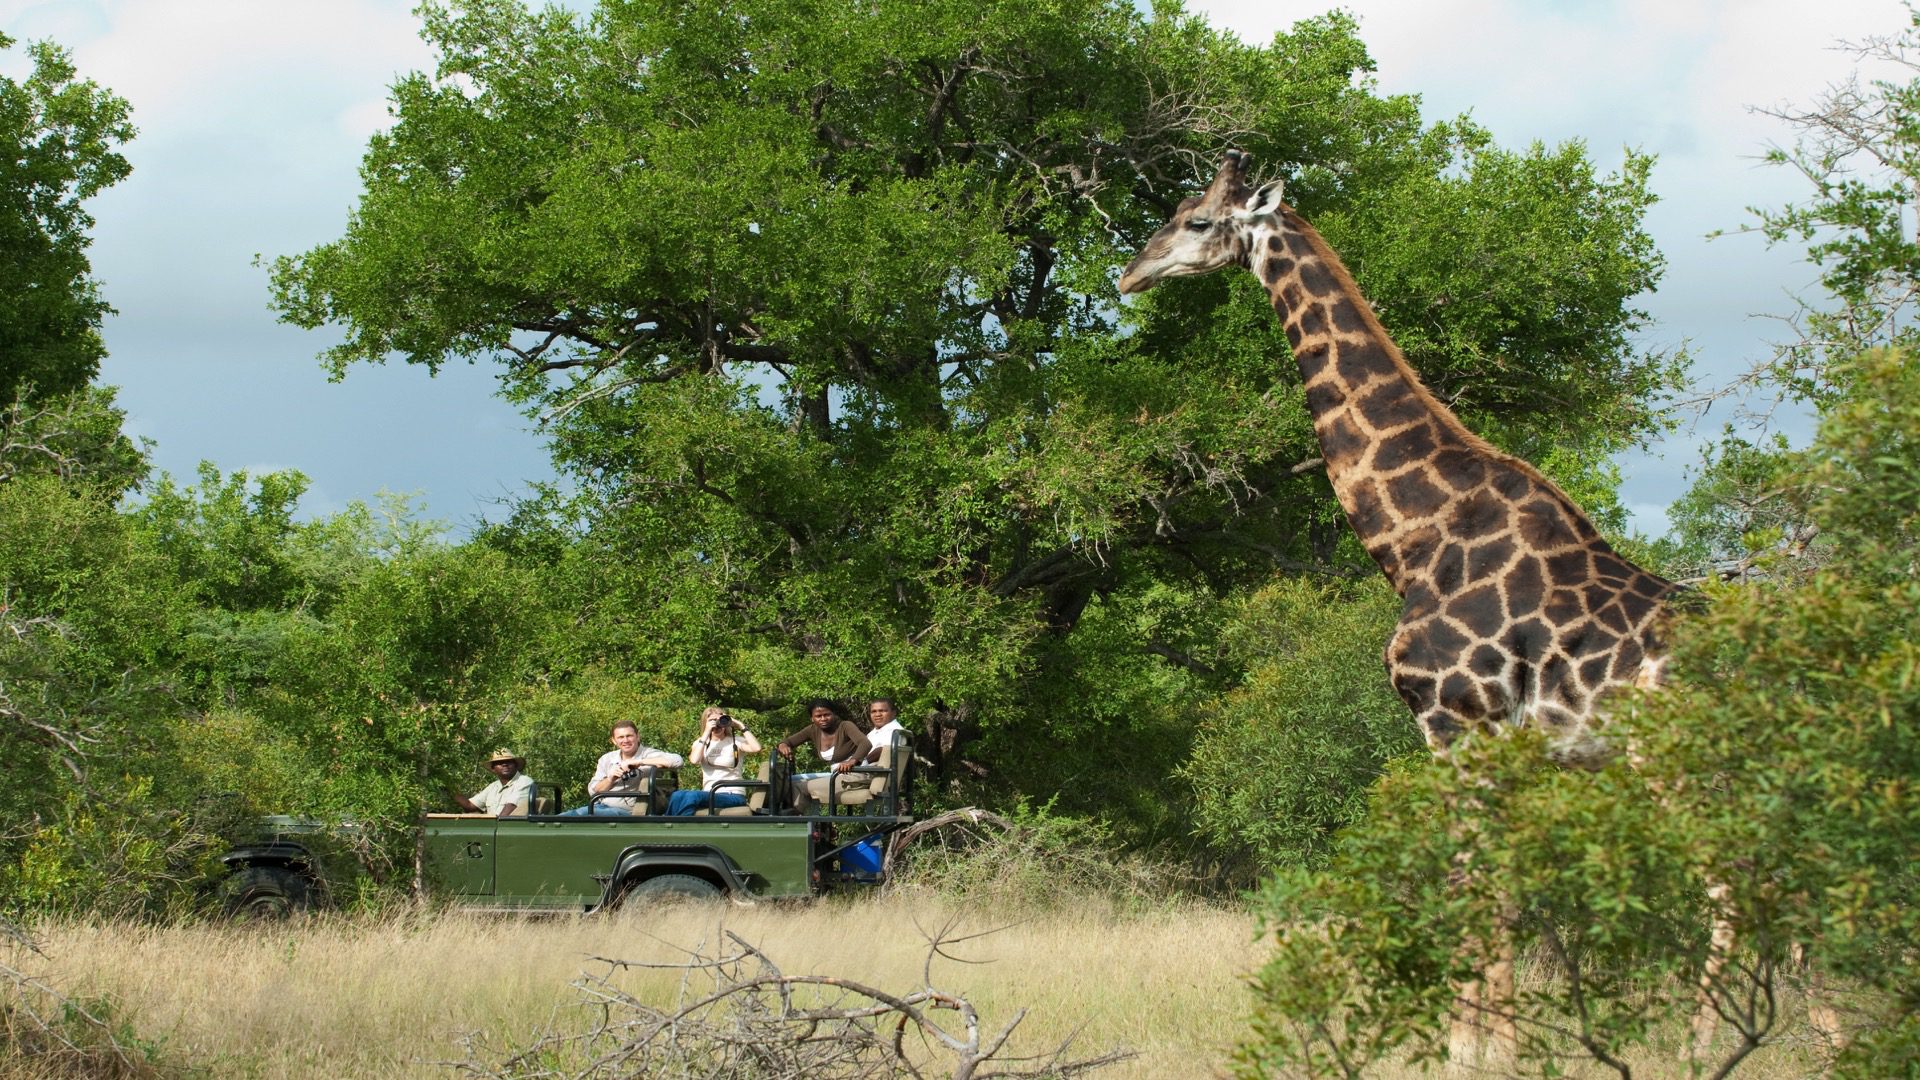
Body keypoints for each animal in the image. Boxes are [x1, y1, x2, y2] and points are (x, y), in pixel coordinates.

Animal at [1113, 151, 1681, 1060]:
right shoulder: (1497, 743)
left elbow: (1473, 884)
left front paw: (1472, 1051)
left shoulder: (1454, 722)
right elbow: (1496, 888)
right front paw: (1490, 1047)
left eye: (1198, 220)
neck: (1417, 536)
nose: (1130, 275)